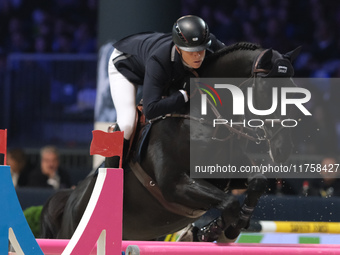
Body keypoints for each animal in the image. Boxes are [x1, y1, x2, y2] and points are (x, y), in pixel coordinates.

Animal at [40, 42, 300, 242]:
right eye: (267, 89)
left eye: (294, 88)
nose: (284, 149)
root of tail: (68, 201)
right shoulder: (174, 185)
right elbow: (229, 203)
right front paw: (216, 230)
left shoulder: (226, 177)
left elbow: (257, 183)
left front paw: (225, 229)